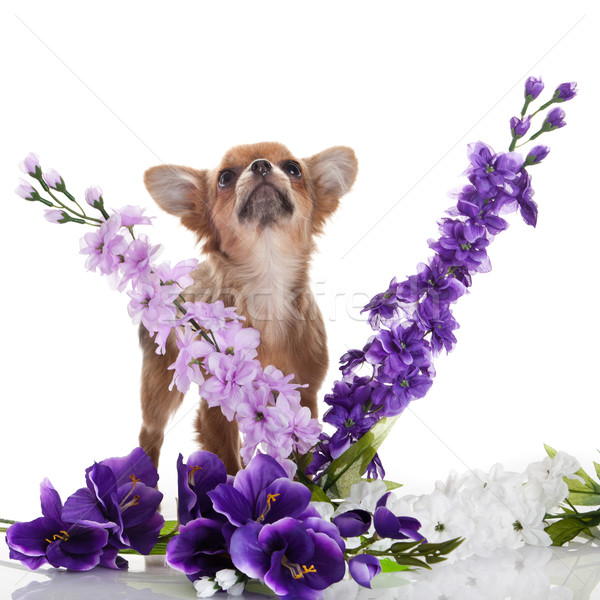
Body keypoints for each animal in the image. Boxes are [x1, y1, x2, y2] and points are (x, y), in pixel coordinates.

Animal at [138, 142, 358, 474]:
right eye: (225, 178)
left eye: (293, 168)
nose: (261, 165)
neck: (267, 285)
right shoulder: (216, 411)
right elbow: (228, 463)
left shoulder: (303, 395)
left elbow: (301, 452)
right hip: (161, 383)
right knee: (150, 432)